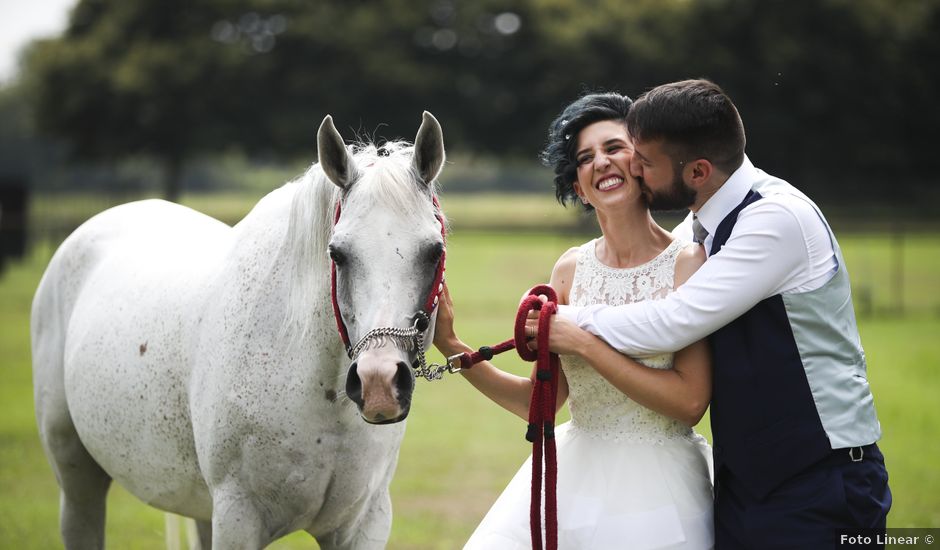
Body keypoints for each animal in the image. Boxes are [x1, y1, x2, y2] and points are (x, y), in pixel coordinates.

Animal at [31, 111, 450, 548]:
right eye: (337, 254)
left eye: (434, 251)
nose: (378, 383)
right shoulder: (238, 519)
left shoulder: (363, 524)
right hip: (77, 479)